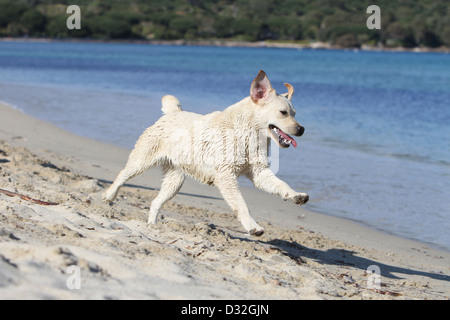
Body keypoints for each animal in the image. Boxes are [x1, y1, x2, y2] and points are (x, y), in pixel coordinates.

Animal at [103, 70, 310, 235]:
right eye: (283, 112)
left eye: (295, 113)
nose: (301, 129)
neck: (248, 132)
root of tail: (172, 113)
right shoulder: (226, 176)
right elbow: (241, 205)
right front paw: (253, 227)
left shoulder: (259, 172)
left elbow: (282, 184)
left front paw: (296, 195)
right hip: (142, 161)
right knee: (122, 175)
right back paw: (109, 195)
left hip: (174, 181)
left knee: (155, 202)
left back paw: (152, 226)